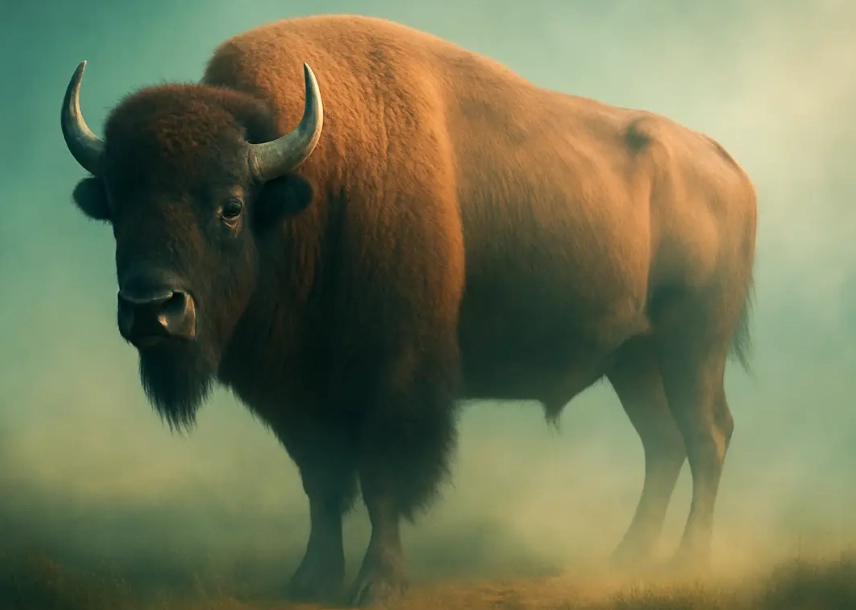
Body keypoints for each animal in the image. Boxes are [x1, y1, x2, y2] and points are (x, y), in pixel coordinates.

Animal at [60, 14, 757, 607]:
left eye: (230, 206)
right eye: (117, 206)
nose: (153, 309)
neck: (310, 190)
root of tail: (728, 167)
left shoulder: (394, 376)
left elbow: (381, 479)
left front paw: (377, 584)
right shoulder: (298, 395)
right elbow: (322, 482)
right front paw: (310, 578)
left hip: (692, 348)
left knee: (707, 435)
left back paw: (687, 561)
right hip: (632, 359)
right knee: (664, 442)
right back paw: (627, 556)